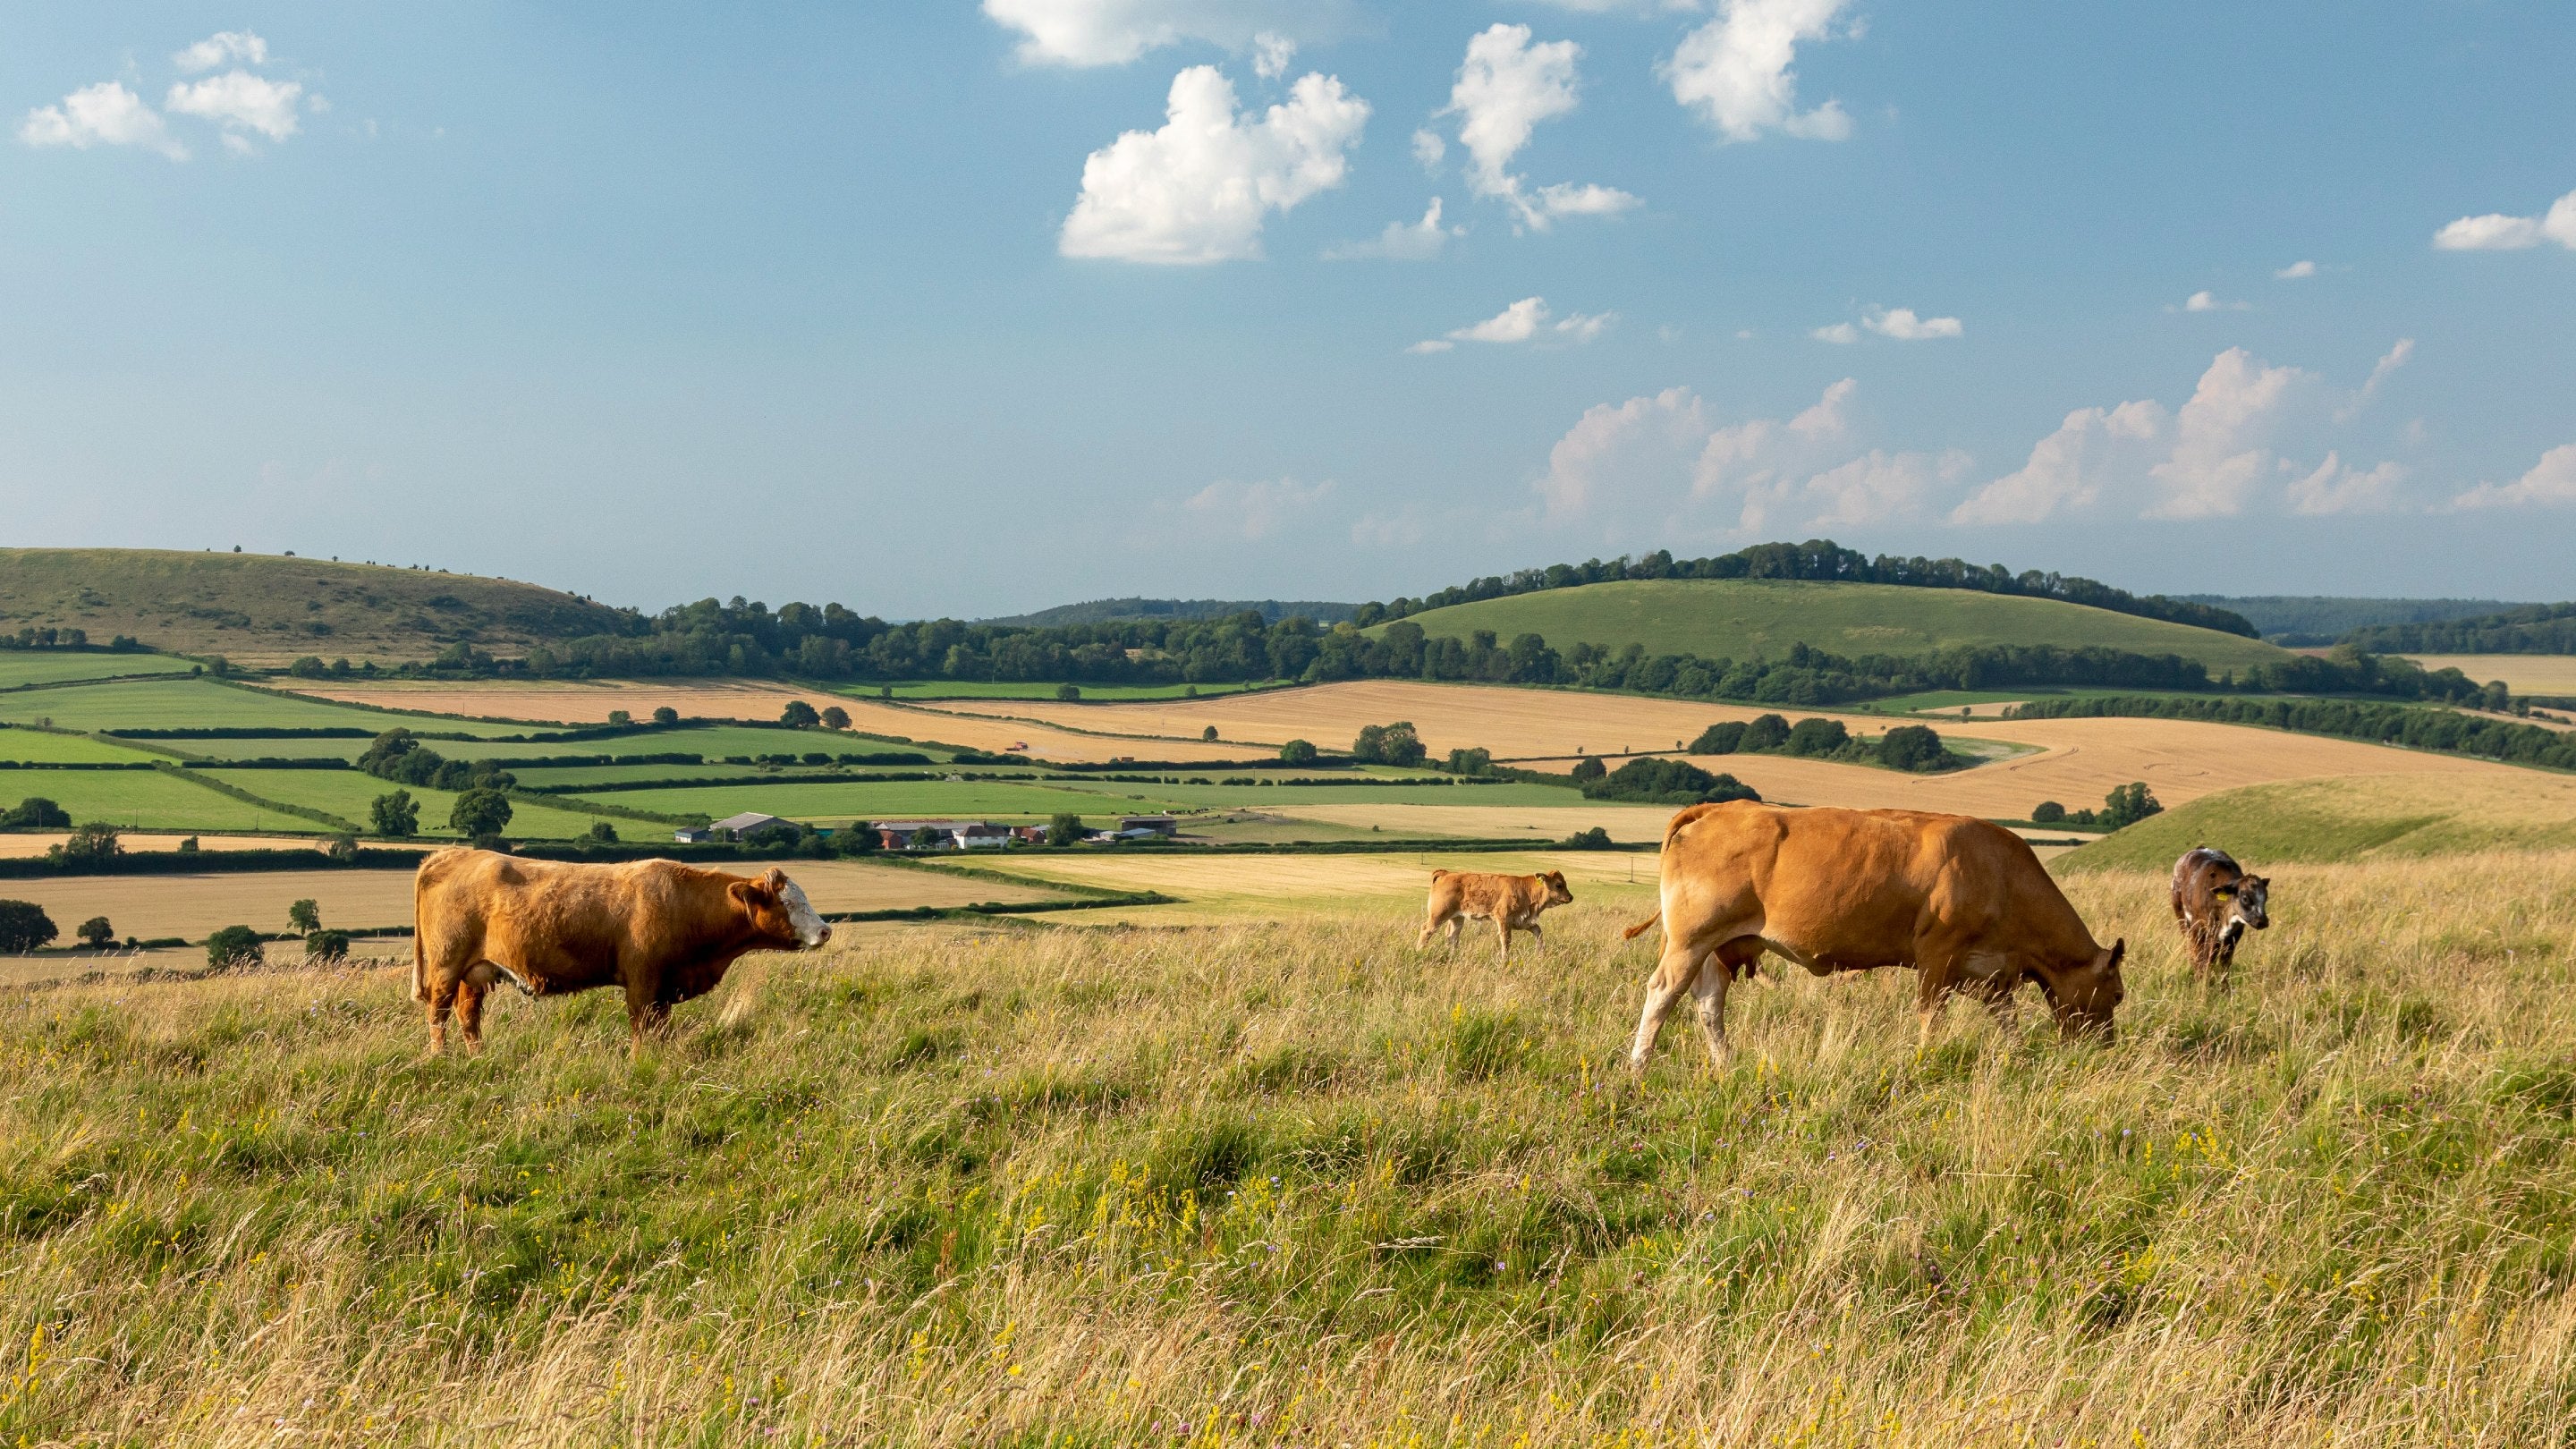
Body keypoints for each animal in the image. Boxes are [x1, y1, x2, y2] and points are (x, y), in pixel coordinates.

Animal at [411, 849, 831, 1056]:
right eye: (789, 903)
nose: (825, 930)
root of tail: (449, 854)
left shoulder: (664, 987)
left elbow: (661, 1029)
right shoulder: (642, 982)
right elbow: (641, 1028)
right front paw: (639, 1062)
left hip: (475, 972)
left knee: (468, 1015)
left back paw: (478, 1058)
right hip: (447, 964)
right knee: (438, 1013)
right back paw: (440, 1058)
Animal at [1418, 868, 1573, 957]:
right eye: (1559, 885)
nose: (1570, 897)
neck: (1526, 890)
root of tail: (1446, 874)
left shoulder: (1523, 921)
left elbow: (1538, 932)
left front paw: (1540, 953)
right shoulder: (1503, 919)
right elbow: (1506, 940)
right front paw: (1505, 960)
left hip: (1457, 918)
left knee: (1452, 936)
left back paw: (1453, 955)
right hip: (1438, 915)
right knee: (1427, 930)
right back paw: (1419, 951)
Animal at [1623, 801, 2125, 1075]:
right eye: (2117, 995)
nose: (2107, 1048)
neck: (2002, 875)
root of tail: (1721, 808)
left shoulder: (1990, 971)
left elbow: (2008, 1020)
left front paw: (2019, 1060)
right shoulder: (1937, 955)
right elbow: (1931, 1018)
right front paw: (1927, 1062)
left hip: (1717, 946)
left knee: (1709, 1001)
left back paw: (1725, 1065)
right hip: (1690, 939)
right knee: (1663, 992)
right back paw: (1638, 1066)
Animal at [2170, 847, 2269, 977]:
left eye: (2266, 897)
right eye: (2245, 898)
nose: (2262, 921)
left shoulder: (2234, 935)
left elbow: (2223, 963)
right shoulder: (2198, 927)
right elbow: (2201, 957)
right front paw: (2202, 979)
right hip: (2182, 917)